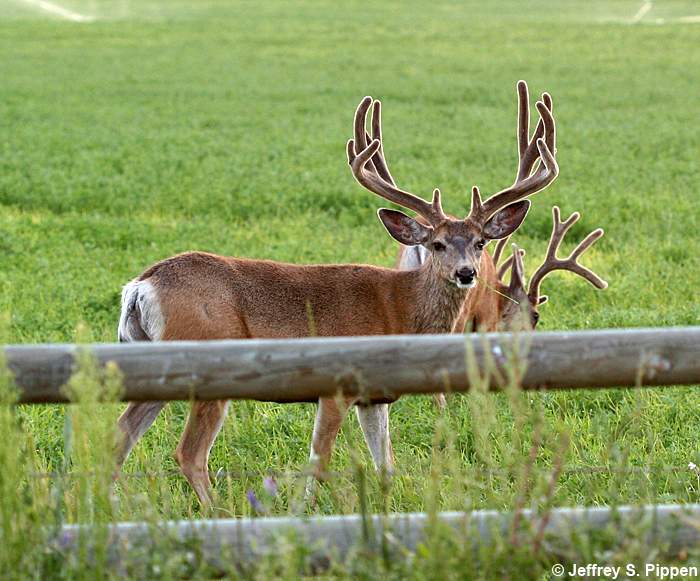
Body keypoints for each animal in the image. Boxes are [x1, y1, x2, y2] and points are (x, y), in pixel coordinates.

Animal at [114, 81, 558, 506]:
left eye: (481, 242)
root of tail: (140, 285)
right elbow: (319, 460)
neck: (399, 309)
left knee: (121, 435)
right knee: (189, 453)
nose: (466, 273)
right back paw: (218, 511)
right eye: (437, 244)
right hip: (207, 362)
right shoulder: (335, 385)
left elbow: (386, 463)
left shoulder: (375, 397)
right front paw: (303, 510)